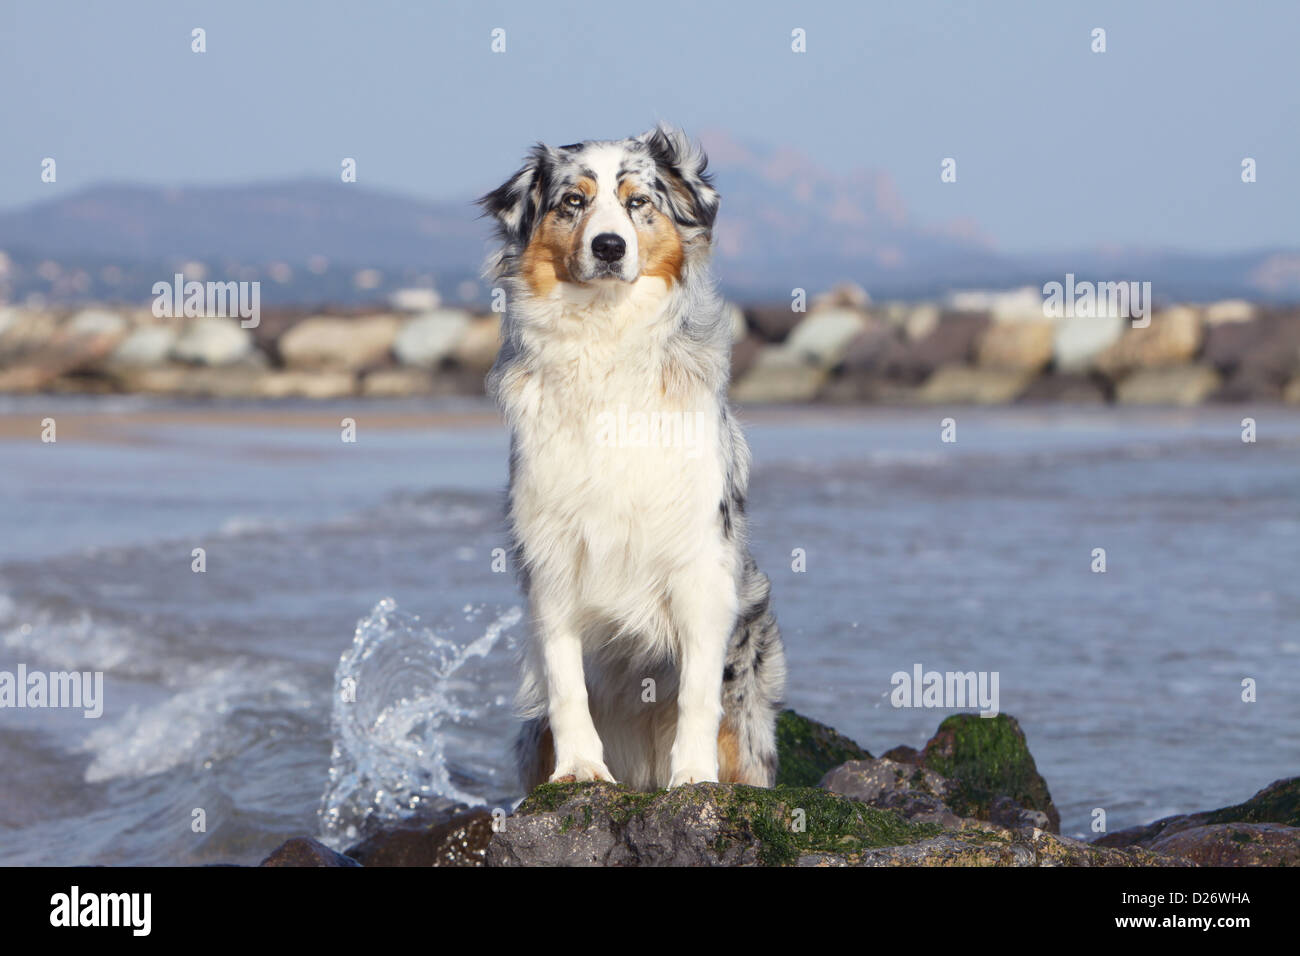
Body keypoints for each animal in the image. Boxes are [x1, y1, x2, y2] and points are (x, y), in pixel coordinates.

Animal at [478, 123, 780, 790]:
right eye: (574, 202)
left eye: (638, 201)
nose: (610, 246)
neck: (605, 339)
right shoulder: (552, 557)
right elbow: (567, 683)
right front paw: (581, 769)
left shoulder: (700, 561)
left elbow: (696, 690)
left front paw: (692, 778)